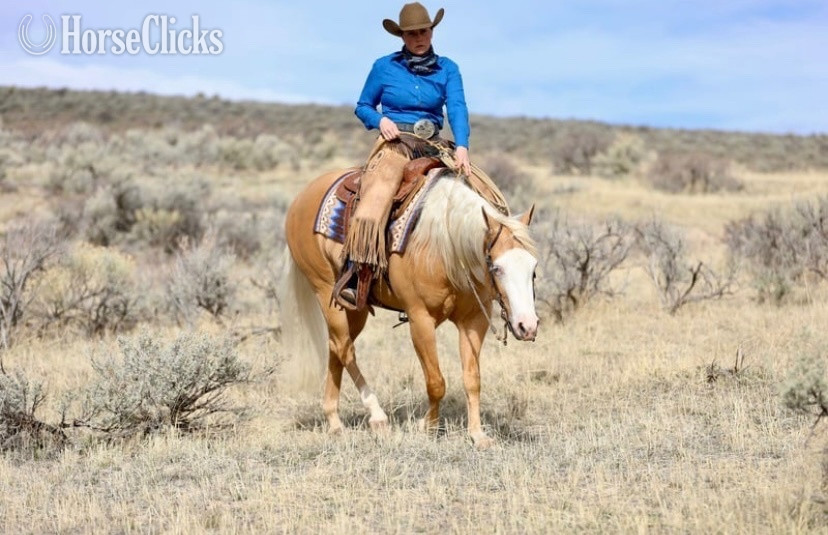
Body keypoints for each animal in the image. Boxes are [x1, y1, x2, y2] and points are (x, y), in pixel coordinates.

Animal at [281, 163, 539, 448]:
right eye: (497, 268)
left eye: (533, 269)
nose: (527, 326)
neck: (445, 246)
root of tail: (300, 199)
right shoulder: (420, 320)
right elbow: (436, 382)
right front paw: (429, 427)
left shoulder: (474, 321)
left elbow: (472, 379)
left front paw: (478, 435)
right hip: (325, 291)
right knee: (345, 349)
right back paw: (377, 416)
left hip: (354, 308)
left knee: (336, 348)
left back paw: (334, 420)